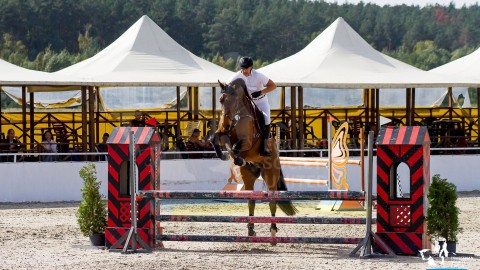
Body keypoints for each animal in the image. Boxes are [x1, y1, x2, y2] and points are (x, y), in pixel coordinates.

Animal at [213, 77, 298, 240]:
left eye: (234, 100)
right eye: (221, 100)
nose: (226, 124)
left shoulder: (247, 142)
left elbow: (236, 148)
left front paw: (237, 158)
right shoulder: (222, 134)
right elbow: (217, 139)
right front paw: (224, 155)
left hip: (271, 176)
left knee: (272, 201)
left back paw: (273, 229)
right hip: (249, 176)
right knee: (251, 201)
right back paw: (251, 229)